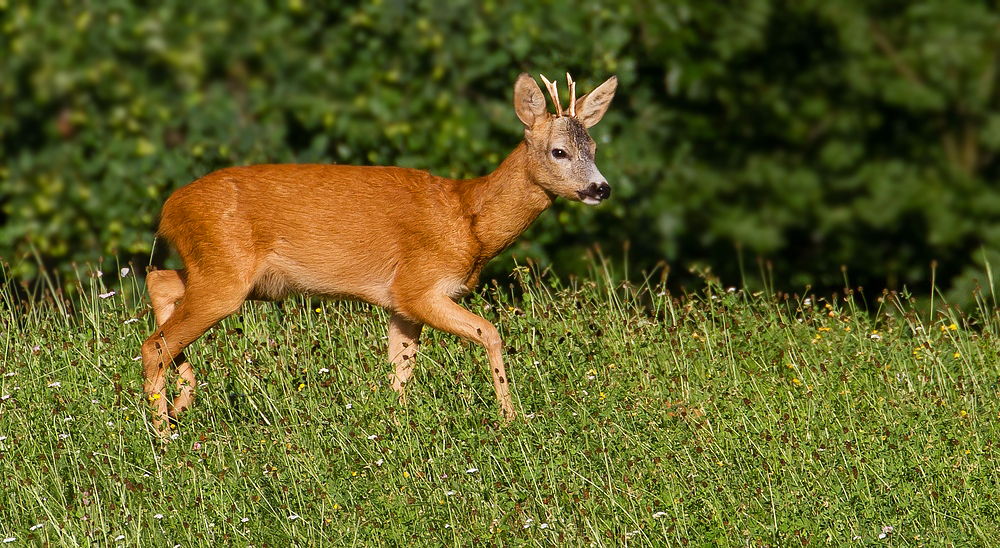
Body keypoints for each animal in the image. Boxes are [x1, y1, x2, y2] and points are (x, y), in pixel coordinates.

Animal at [142, 73, 616, 436]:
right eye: (559, 151)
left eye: (594, 149)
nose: (601, 188)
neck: (470, 222)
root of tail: (170, 208)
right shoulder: (418, 286)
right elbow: (490, 333)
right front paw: (510, 419)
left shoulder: (401, 306)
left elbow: (400, 374)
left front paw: (398, 428)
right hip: (224, 271)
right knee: (154, 343)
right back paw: (163, 437)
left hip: (215, 269)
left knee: (158, 283)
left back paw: (181, 402)